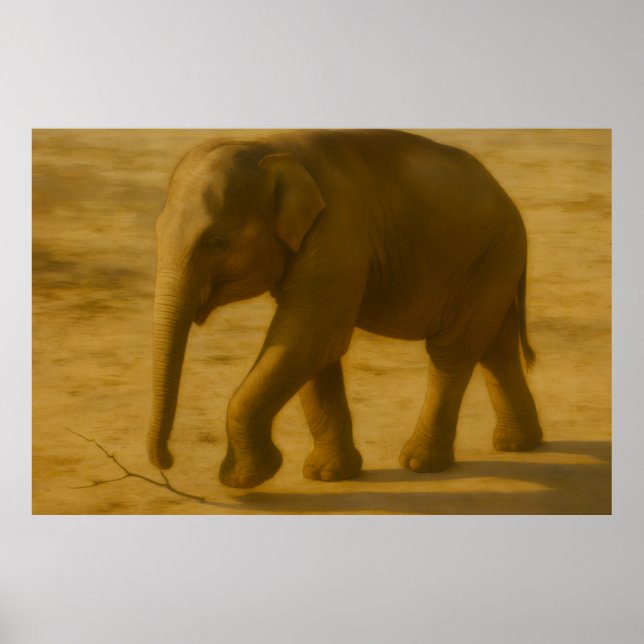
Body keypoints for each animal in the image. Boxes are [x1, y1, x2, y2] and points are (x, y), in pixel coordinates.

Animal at [147, 129, 543, 488]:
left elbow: (308, 336)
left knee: (452, 352)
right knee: (496, 349)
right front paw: (327, 475)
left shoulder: (338, 230)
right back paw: (517, 444)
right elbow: (313, 349)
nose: (167, 462)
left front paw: (242, 480)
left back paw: (421, 463)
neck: (268, 146)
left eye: (216, 243)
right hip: (494, 265)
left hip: (486, 260)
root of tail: (508, 200)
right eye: (157, 232)